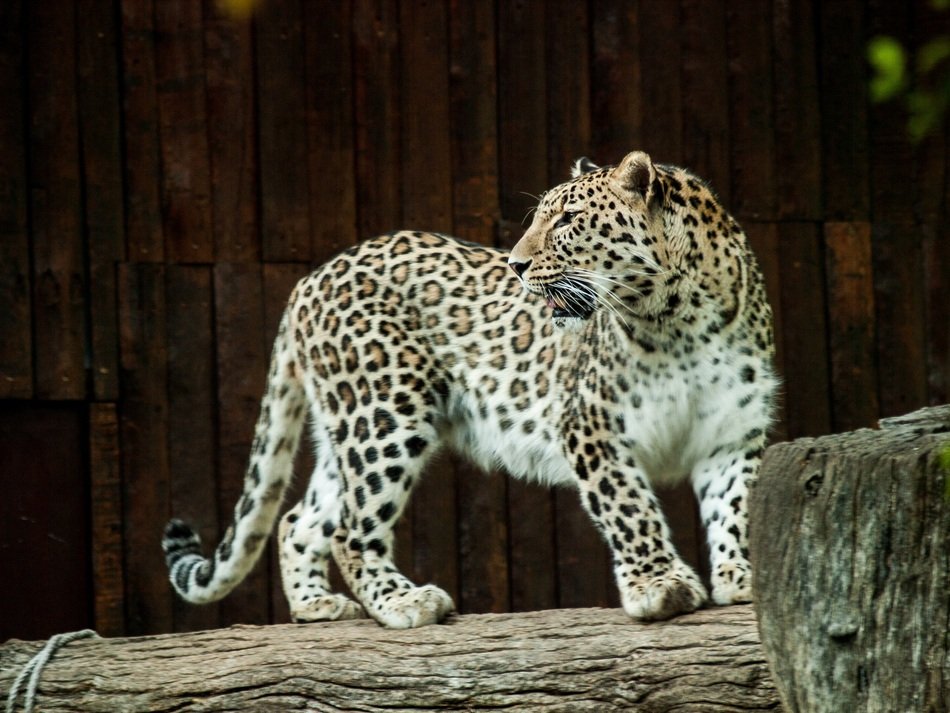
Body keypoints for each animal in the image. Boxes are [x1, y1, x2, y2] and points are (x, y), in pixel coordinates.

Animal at [163, 150, 778, 629]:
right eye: (542, 217)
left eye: (568, 220)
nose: (517, 265)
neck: (680, 319)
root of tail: (309, 280)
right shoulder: (591, 426)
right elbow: (629, 508)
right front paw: (660, 585)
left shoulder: (733, 430)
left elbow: (736, 505)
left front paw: (741, 575)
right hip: (385, 415)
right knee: (353, 529)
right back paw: (403, 602)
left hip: (351, 425)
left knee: (302, 519)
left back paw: (316, 605)